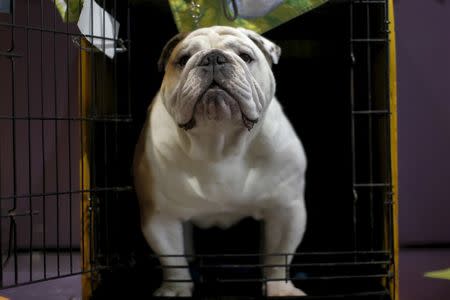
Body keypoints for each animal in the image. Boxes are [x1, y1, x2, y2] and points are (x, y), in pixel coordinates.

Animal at [134, 26, 308, 298]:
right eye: (183, 59)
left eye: (245, 56)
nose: (213, 58)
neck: (220, 141)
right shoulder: (160, 216)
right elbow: (172, 260)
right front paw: (175, 290)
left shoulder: (286, 210)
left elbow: (278, 256)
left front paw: (280, 289)